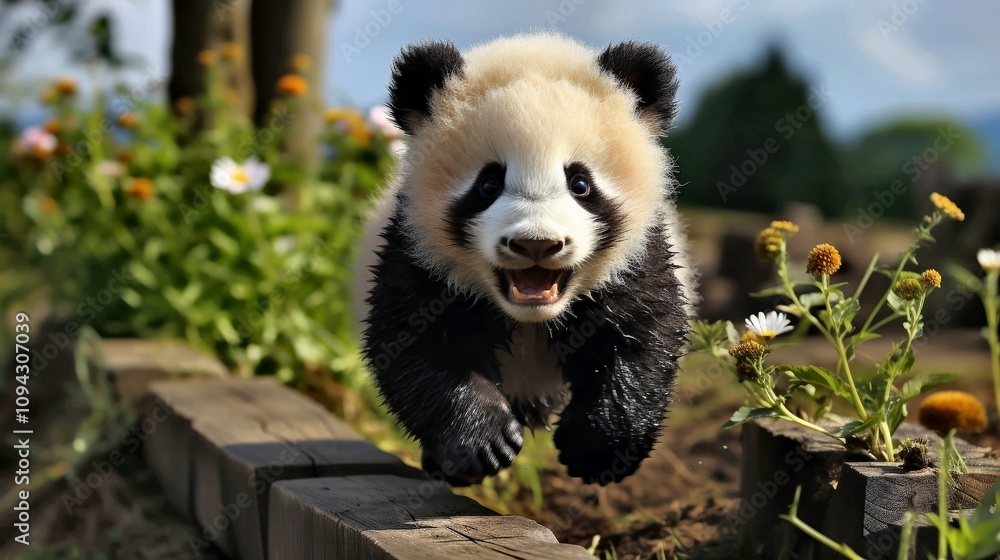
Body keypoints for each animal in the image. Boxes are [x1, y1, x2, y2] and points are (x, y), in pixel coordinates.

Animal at [357, 33, 696, 486]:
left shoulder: (637, 258)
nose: (537, 244)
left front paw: (595, 451)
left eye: (580, 183)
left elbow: (641, 335)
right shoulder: (417, 254)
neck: (531, 316)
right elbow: (415, 342)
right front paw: (481, 442)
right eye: (488, 184)